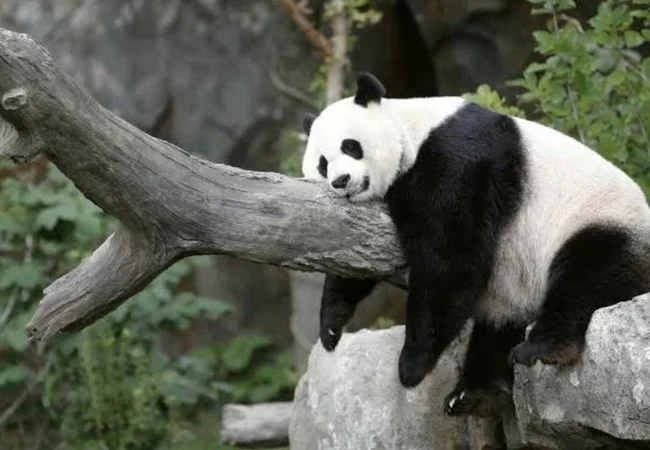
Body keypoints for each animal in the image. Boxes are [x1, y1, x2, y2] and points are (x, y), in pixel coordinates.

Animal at [300, 71, 650, 417]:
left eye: (351, 146)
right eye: (322, 163)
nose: (341, 181)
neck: (412, 130)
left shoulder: (457, 161)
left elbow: (450, 260)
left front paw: (411, 365)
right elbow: (356, 253)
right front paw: (331, 327)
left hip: (602, 222)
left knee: (587, 275)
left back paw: (542, 349)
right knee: (497, 327)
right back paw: (473, 392)